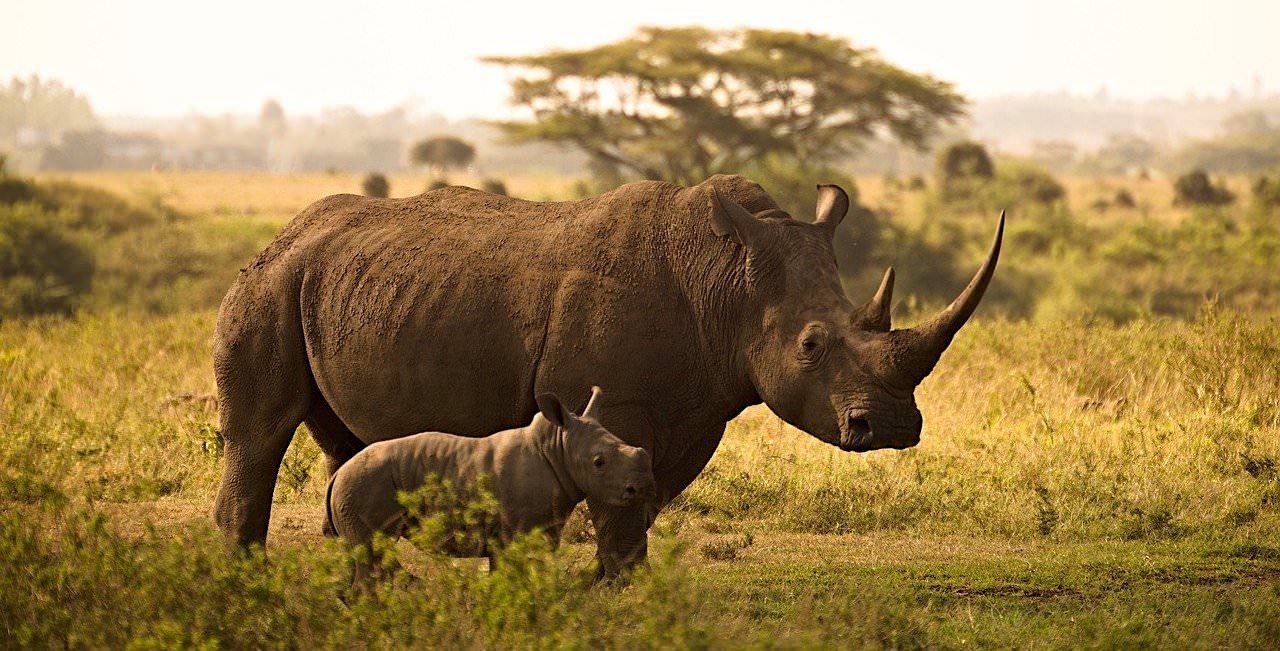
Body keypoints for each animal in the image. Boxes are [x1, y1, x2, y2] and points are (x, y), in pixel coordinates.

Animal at [324, 386, 654, 585]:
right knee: (372, 555)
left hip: (356, 488)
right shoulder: (516, 531)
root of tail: (336, 476)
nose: (642, 488)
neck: (557, 448)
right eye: (599, 462)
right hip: (362, 486)